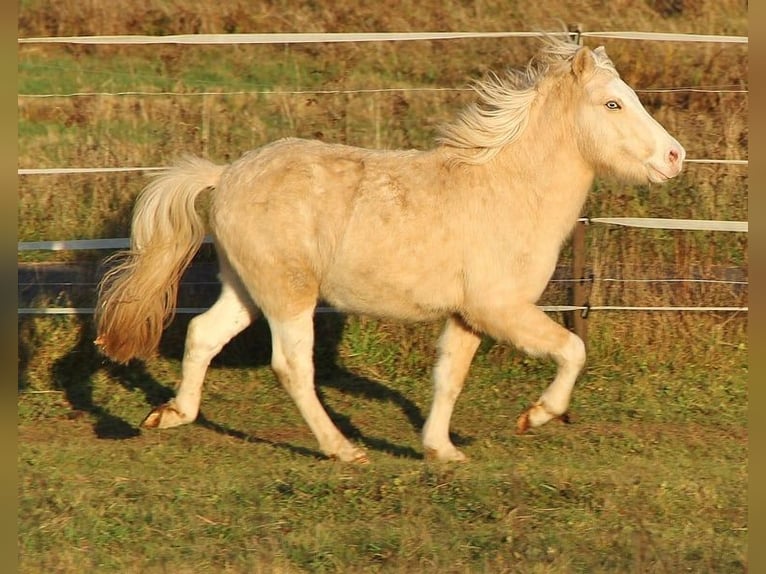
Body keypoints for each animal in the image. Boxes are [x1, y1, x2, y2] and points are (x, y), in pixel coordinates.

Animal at [95, 37, 685, 463]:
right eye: (613, 103)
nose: (675, 157)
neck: (509, 190)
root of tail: (225, 176)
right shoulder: (501, 309)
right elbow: (572, 349)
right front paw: (537, 415)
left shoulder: (468, 316)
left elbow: (449, 378)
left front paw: (441, 451)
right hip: (289, 296)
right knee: (291, 366)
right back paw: (343, 450)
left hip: (249, 287)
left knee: (202, 334)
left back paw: (170, 415)